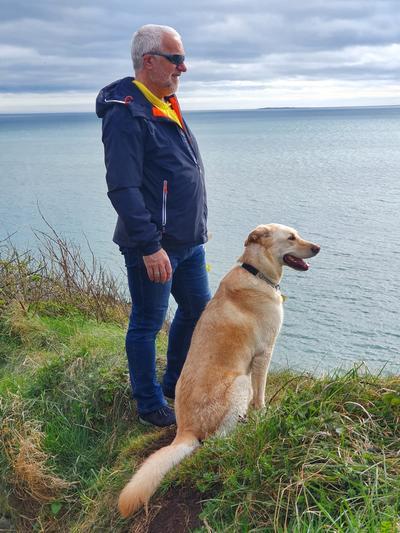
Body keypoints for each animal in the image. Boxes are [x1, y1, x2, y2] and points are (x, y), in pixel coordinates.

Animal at [117, 222, 320, 512]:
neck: (256, 273)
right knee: (217, 439)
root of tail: (185, 430)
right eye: (291, 238)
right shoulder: (263, 355)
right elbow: (261, 395)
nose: (318, 248)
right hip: (240, 382)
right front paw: (264, 414)